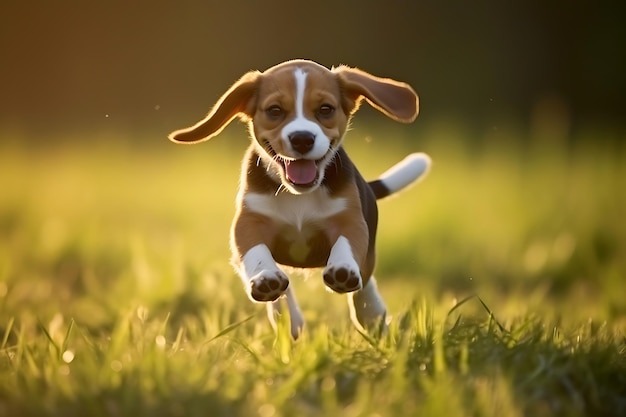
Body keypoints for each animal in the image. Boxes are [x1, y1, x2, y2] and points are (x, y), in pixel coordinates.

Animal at [168, 59, 426, 338]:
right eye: (275, 110)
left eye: (325, 109)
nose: (302, 138)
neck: (298, 195)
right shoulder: (248, 222)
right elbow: (255, 251)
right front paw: (265, 278)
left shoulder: (351, 219)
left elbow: (346, 244)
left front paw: (343, 269)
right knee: (284, 291)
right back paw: (288, 315)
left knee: (365, 283)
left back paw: (371, 313)